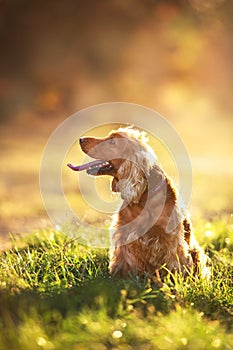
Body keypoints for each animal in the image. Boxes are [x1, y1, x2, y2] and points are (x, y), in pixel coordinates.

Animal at [68, 127, 209, 278]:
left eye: (112, 142)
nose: (81, 139)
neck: (143, 197)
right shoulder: (124, 233)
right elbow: (122, 259)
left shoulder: (170, 238)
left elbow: (174, 261)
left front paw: (174, 279)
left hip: (196, 251)